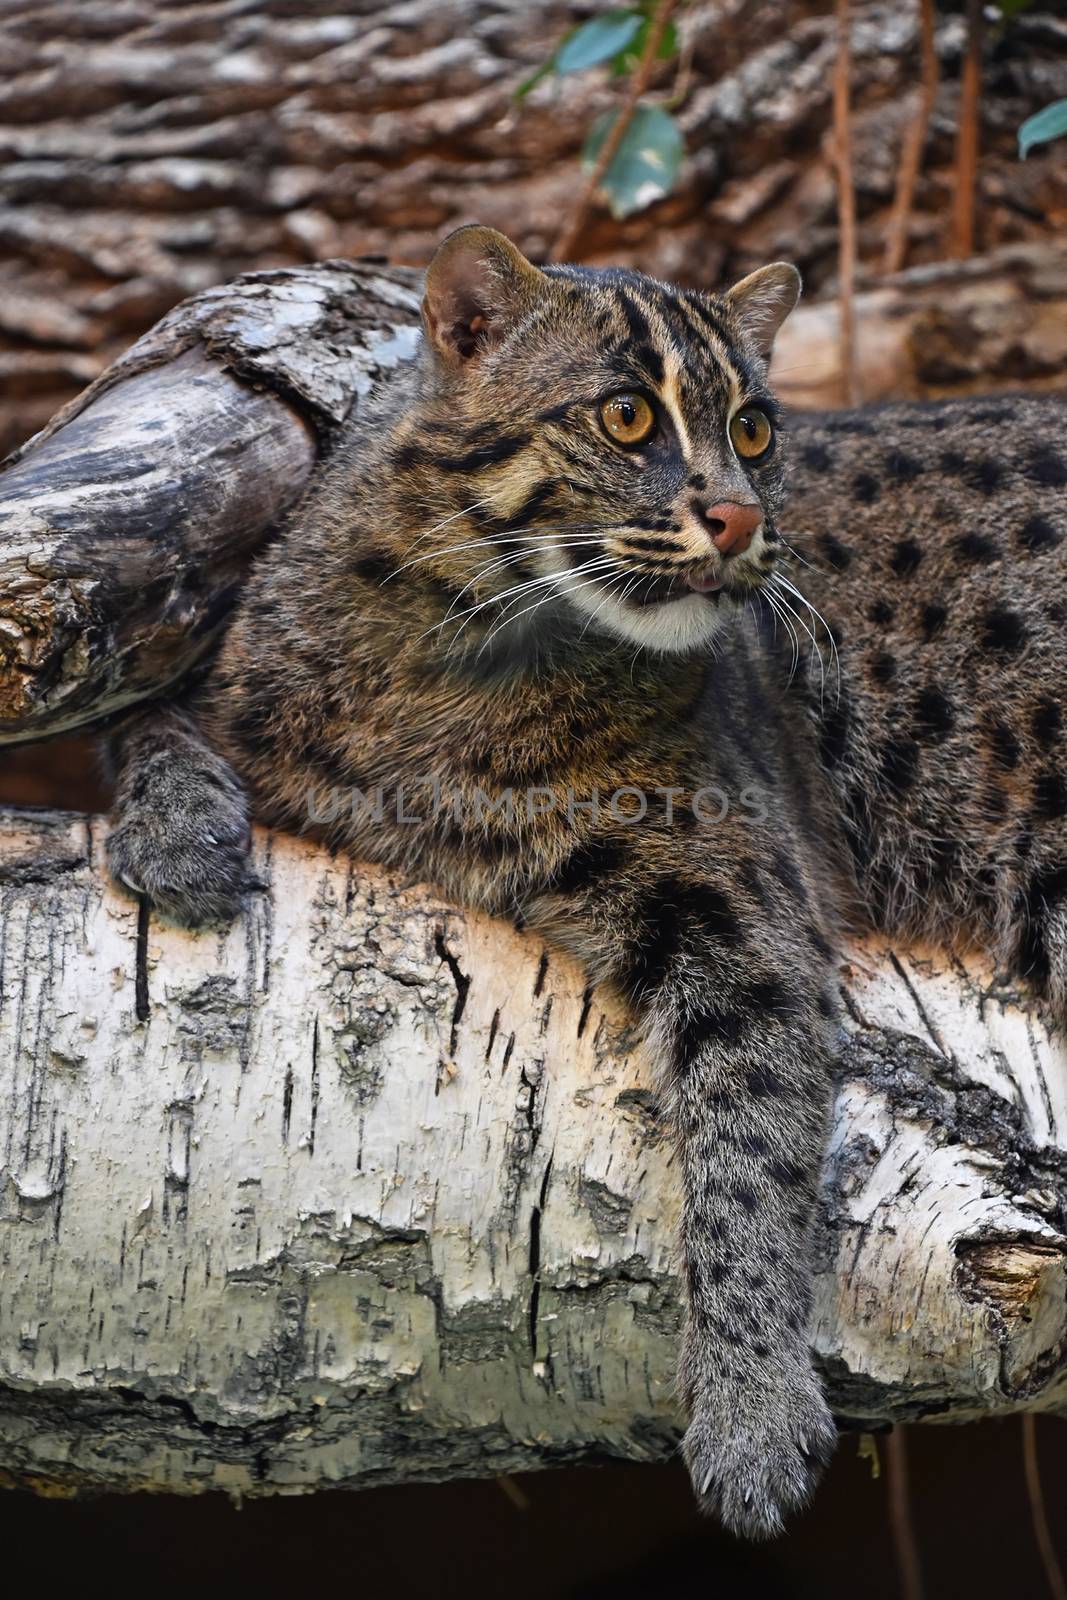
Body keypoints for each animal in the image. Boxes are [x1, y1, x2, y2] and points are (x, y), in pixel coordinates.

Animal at [106, 225, 1067, 1536]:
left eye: (753, 428)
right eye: (624, 416)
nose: (738, 516)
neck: (463, 639)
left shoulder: (745, 901)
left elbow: (749, 1145)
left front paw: (749, 1404)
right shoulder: (252, 714)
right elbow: (145, 719)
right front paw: (180, 832)